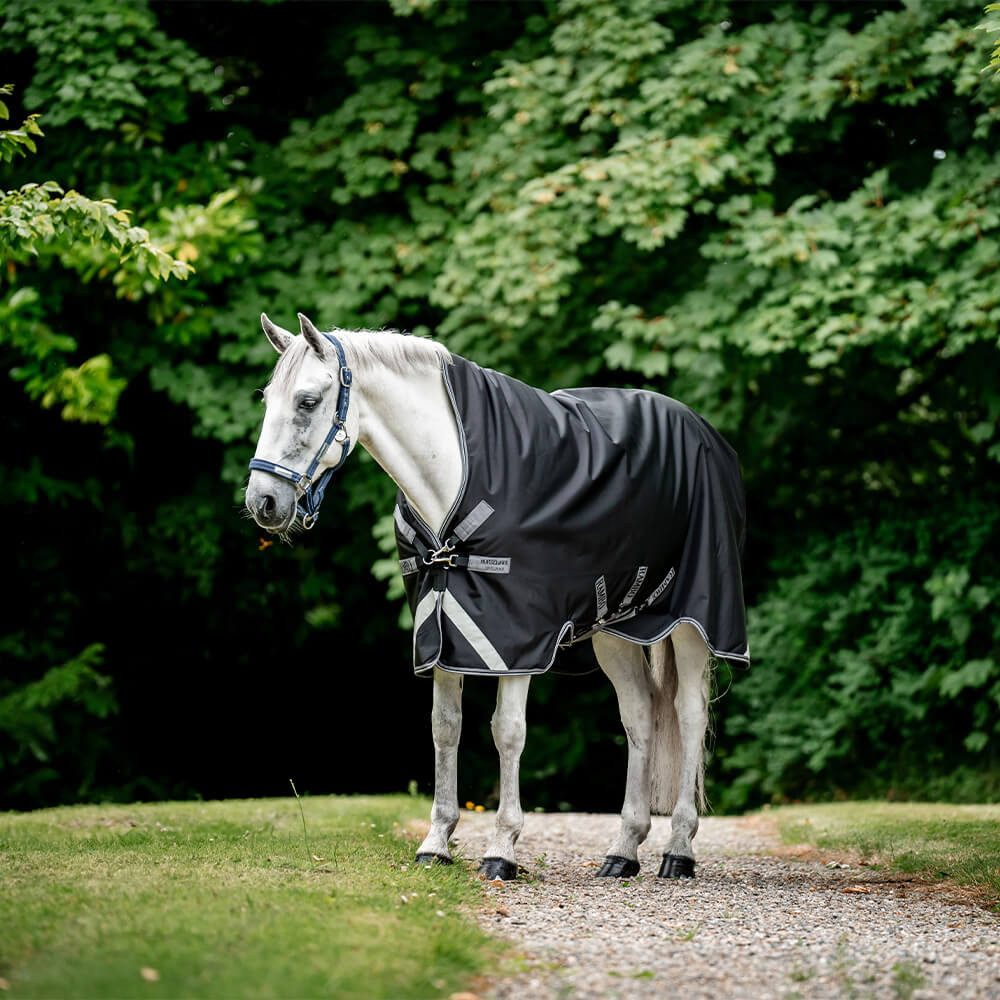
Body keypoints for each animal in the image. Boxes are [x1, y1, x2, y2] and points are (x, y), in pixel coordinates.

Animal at [245, 312, 748, 881]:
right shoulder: (441, 628)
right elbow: (445, 728)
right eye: (267, 399)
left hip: (692, 623)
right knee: (639, 716)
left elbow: (507, 731)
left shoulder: (518, 638)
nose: (263, 502)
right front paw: (436, 842)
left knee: (689, 715)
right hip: (615, 630)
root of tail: (703, 431)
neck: (454, 472)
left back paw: (679, 850)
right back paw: (623, 851)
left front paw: (502, 848)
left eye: (308, 401)